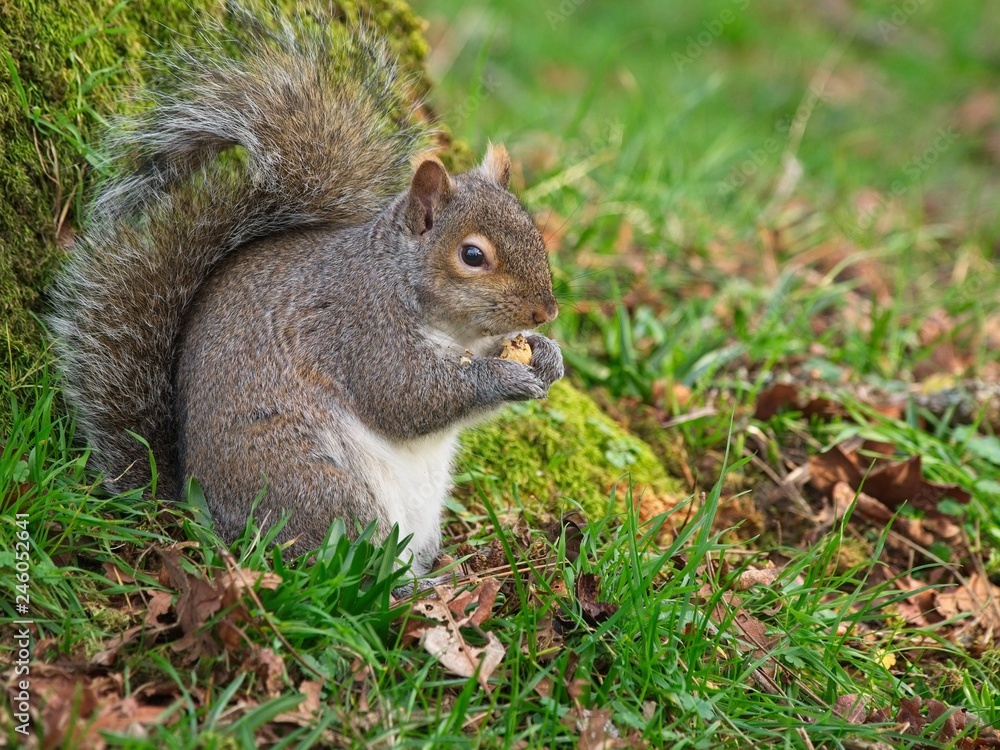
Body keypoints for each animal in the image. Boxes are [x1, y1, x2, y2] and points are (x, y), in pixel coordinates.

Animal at [47, 9, 563, 576]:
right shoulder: (360, 329)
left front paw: (547, 356)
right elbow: (406, 396)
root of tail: (195, 513)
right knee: (342, 565)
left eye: (533, 230)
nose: (546, 311)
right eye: (472, 255)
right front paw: (502, 378)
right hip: (316, 486)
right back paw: (407, 586)